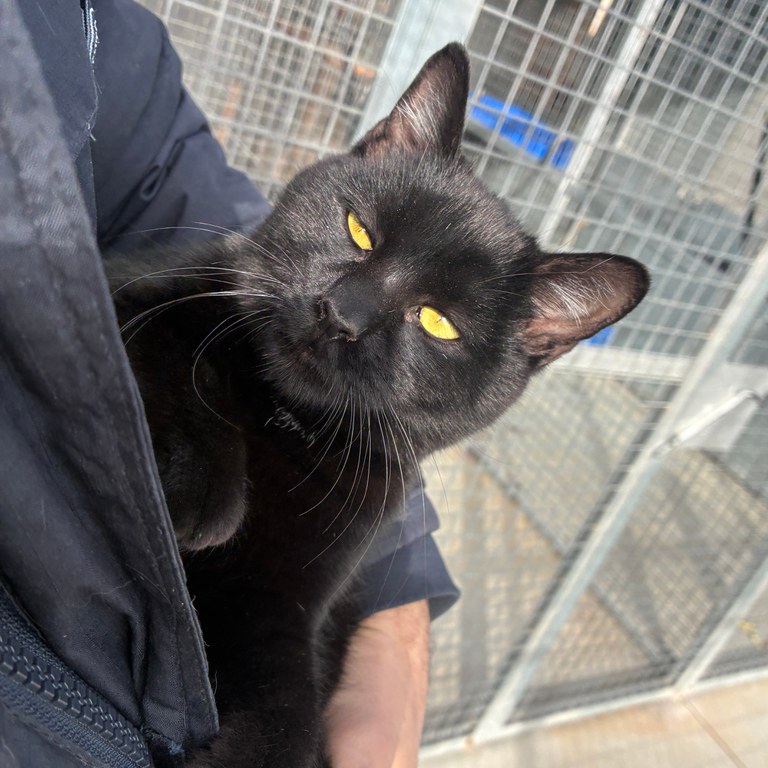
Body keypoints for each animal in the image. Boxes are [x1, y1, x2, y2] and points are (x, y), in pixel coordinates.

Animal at [107, 43, 648, 768]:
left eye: (438, 323)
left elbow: (288, 722)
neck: (286, 421)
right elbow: (178, 347)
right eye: (359, 231)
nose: (342, 313)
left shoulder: (280, 609)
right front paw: (208, 493)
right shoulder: (130, 289)